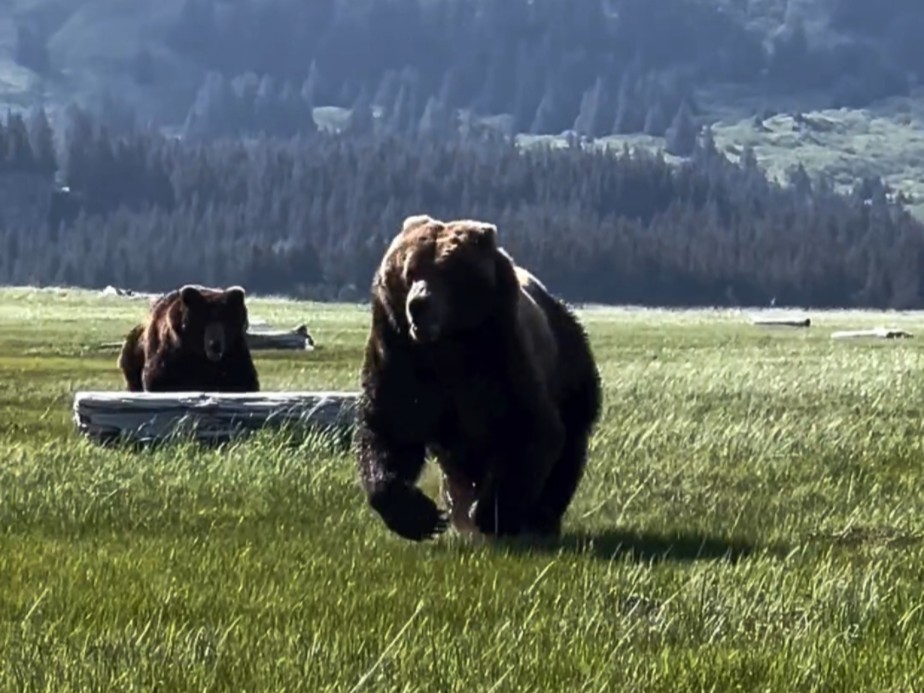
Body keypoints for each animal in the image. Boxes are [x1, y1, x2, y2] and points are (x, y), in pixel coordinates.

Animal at [117, 284, 260, 392]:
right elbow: (158, 378)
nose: (215, 345)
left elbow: (245, 380)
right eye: (203, 321)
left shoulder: (234, 352)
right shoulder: (172, 352)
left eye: (225, 322)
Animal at [352, 212, 600, 540]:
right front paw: (424, 517)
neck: (448, 348)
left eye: (446, 271)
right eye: (409, 270)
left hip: (569, 365)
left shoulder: (500, 354)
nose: (418, 305)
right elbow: (390, 427)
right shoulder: (398, 352)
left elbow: (528, 426)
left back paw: (539, 519)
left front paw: (489, 514)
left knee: (569, 445)